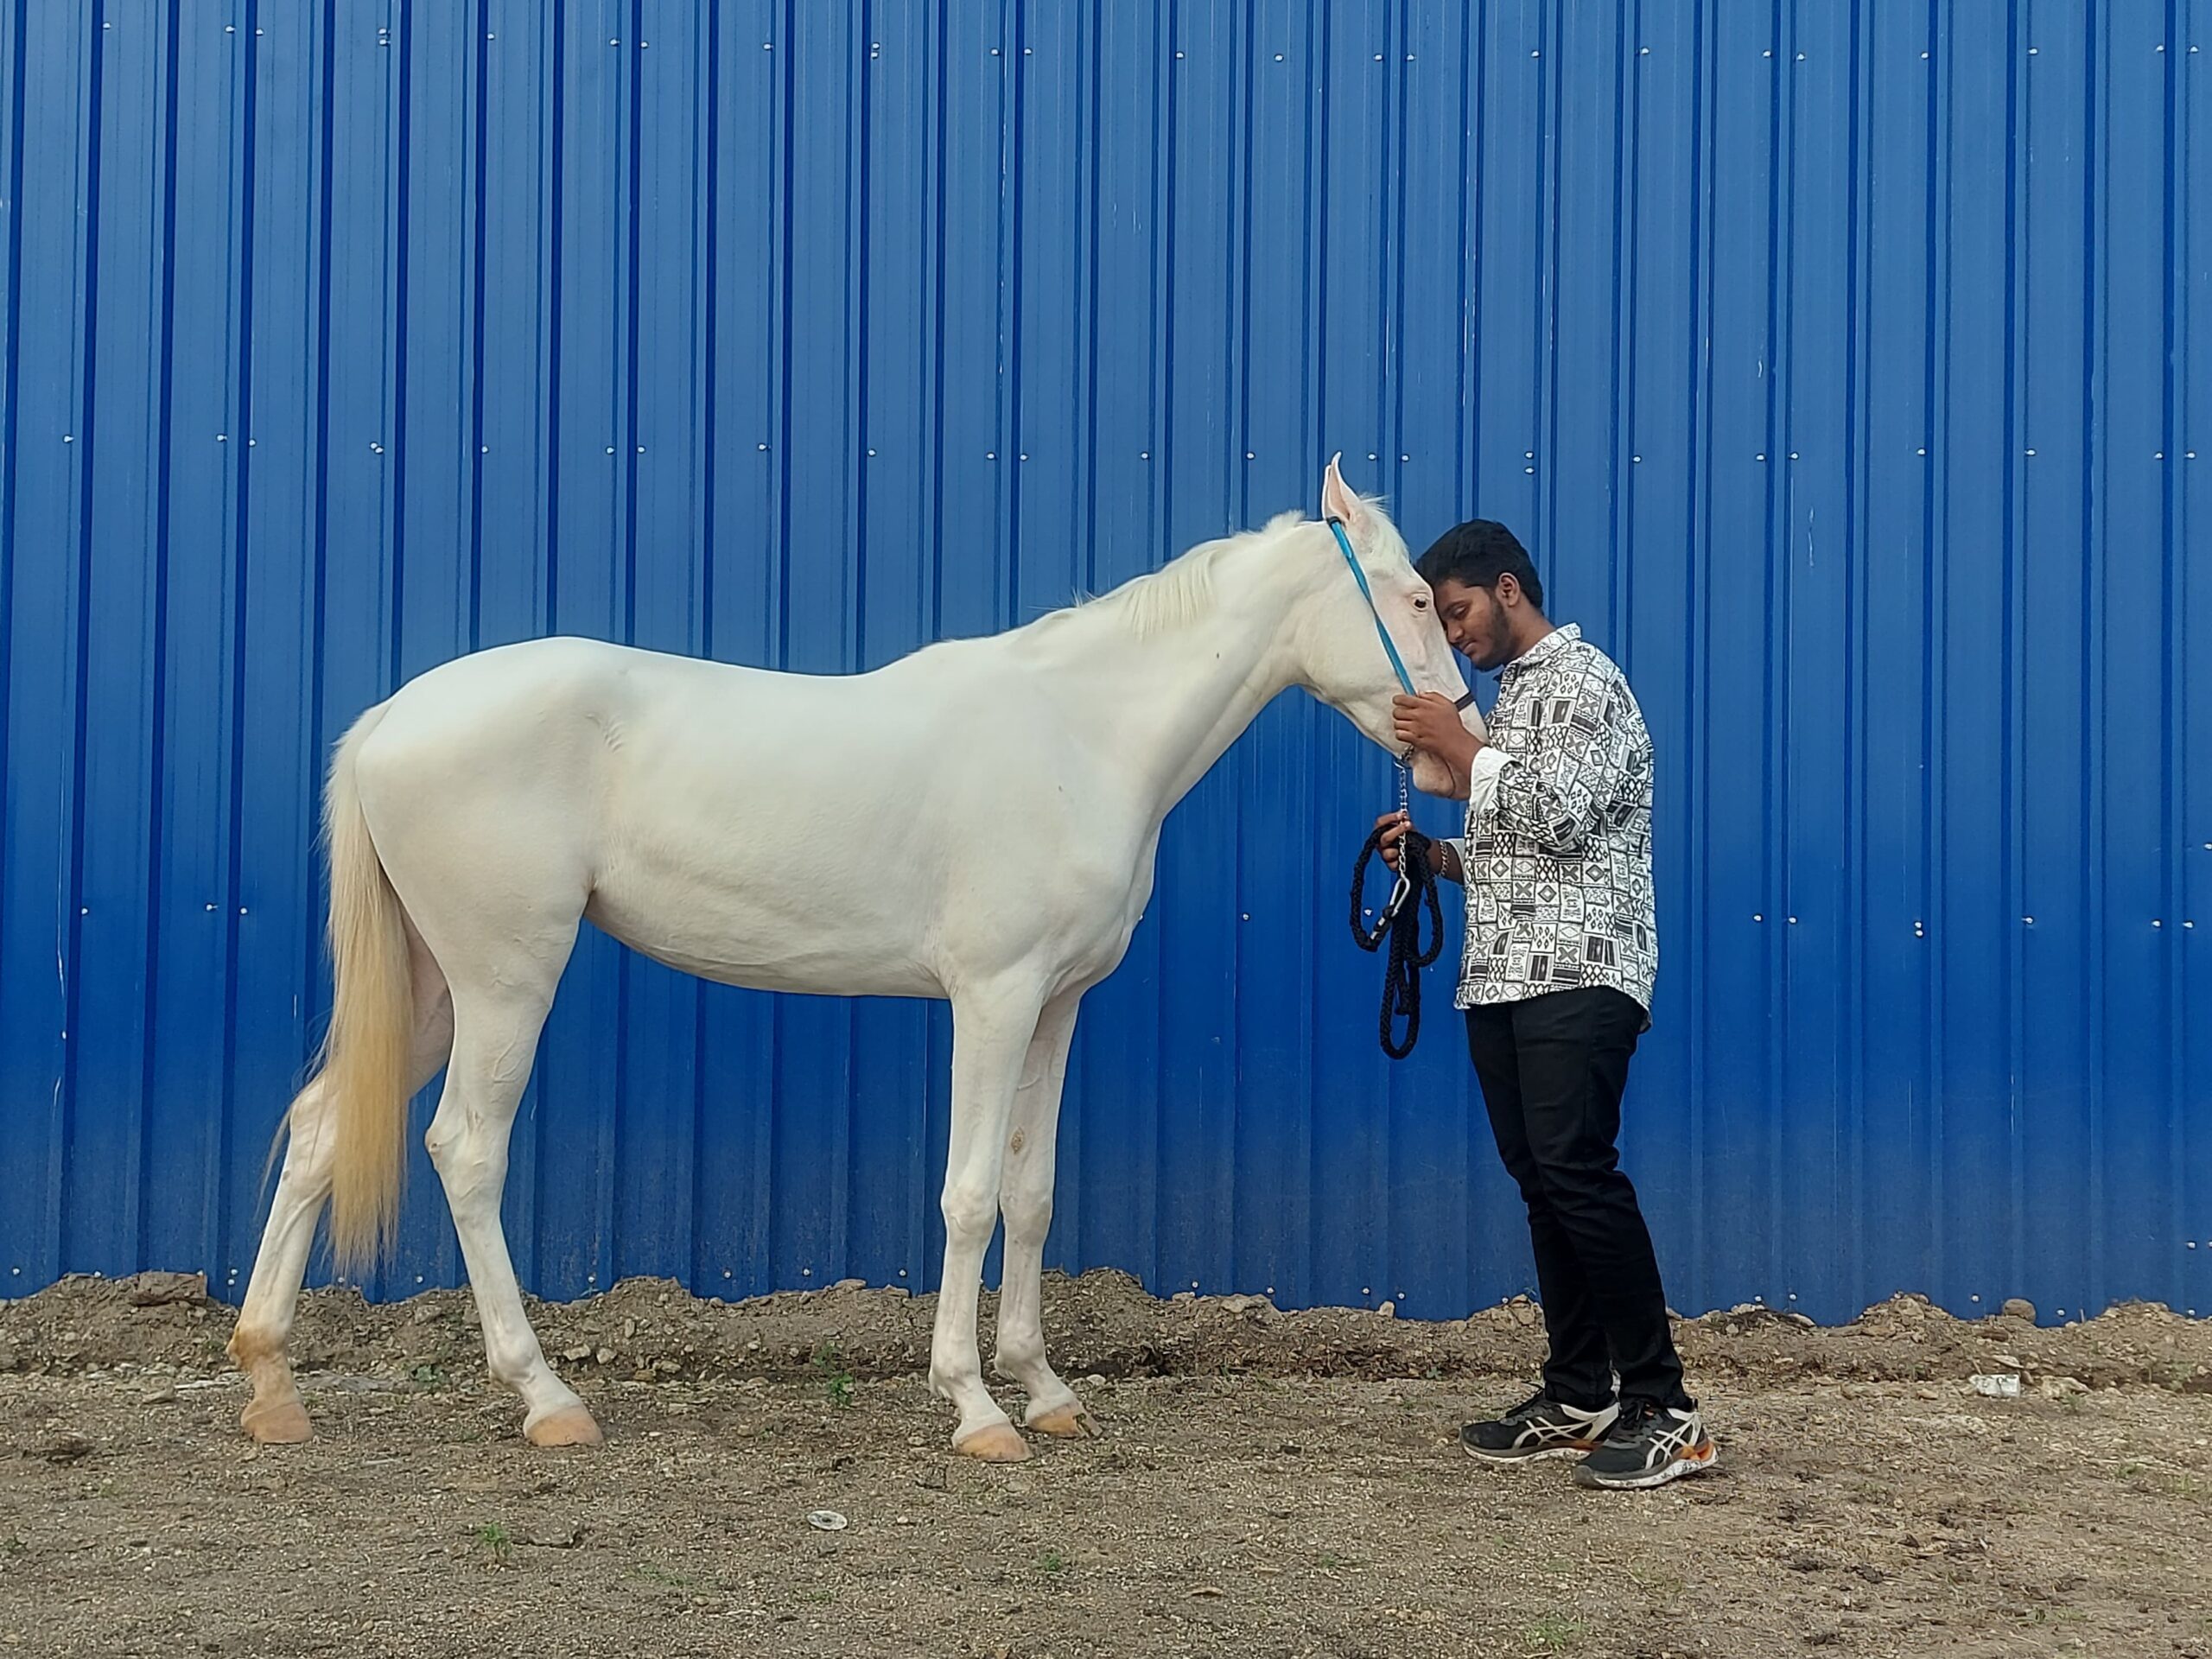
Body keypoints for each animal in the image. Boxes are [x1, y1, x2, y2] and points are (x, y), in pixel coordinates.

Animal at [227, 457, 1483, 1461]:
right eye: (1418, 598)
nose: (1458, 739)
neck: (1081, 735)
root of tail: (390, 720)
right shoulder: (993, 998)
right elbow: (969, 1197)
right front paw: (975, 1408)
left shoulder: (1059, 1005)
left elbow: (1031, 1193)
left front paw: (1046, 1391)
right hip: (504, 979)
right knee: (467, 1150)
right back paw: (547, 1399)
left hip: (434, 985)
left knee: (321, 1125)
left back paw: (274, 1385)